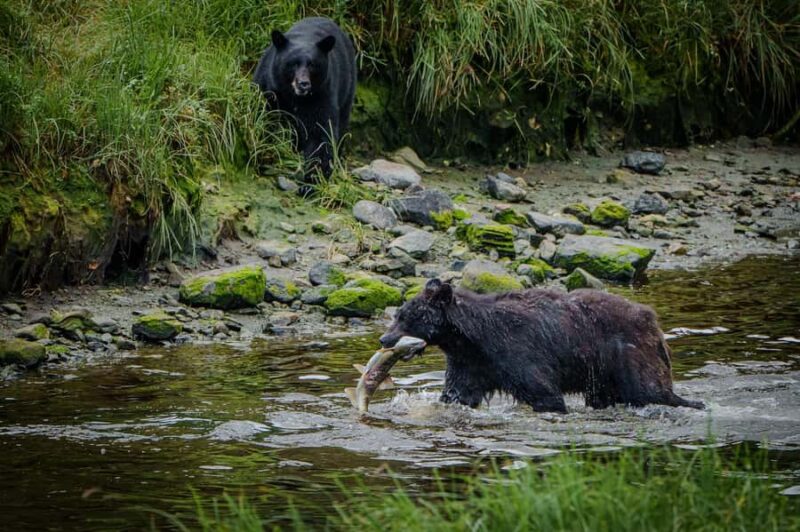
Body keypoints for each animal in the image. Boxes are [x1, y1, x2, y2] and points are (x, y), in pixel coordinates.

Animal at [253, 17, 356, 179]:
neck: (293, 96)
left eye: (313, 64)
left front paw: (314, 176)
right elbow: (264, 117)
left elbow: (319, 131)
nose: (303, 84)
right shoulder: (268, 85)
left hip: (347, 88)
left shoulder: (321, 93)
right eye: (292, 64)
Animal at [380, 279, 703, 413]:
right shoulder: (470, 363)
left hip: (629, 354)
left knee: (651, 390)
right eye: (398, 314)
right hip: (603, 374)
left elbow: (543, 392)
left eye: (408, 316)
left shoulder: (517, 351)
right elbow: (458, 393)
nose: (384, 339)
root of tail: (653, 321)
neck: (472, 338)